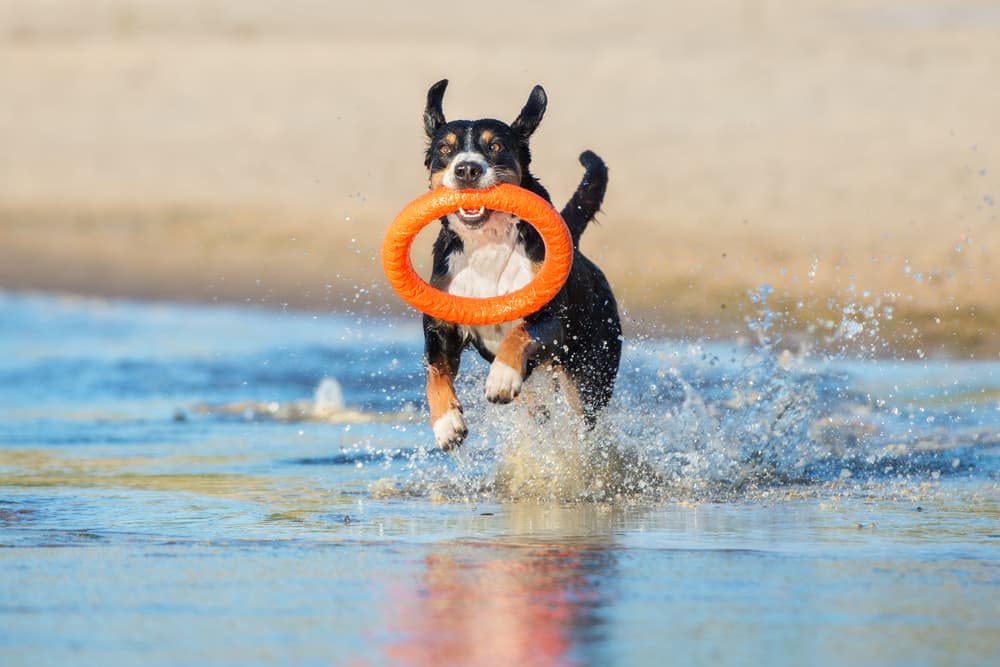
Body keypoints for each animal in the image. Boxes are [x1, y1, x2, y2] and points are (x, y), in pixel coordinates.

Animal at [418, 81, 620, 452]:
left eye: (495, 146)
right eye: (445, 148)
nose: (466, 169)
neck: (487, 244)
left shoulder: (550, 319)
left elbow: (519, 333)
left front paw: (502, 377)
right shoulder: (441, 327)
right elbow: (434, 372)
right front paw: (446, 424)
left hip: (589, 374)